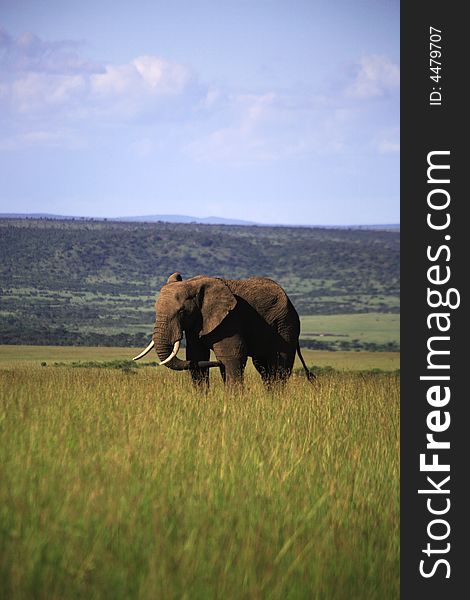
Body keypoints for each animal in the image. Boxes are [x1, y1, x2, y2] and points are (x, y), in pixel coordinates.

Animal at [133, 270, 316, 386]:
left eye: (181, 311)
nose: (216, 362)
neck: (194, 285)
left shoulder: (230, 319)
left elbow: (232, 356)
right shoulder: (197, 322)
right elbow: (196, 356)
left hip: (286, 325)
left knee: (279, 367)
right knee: (263, 367)